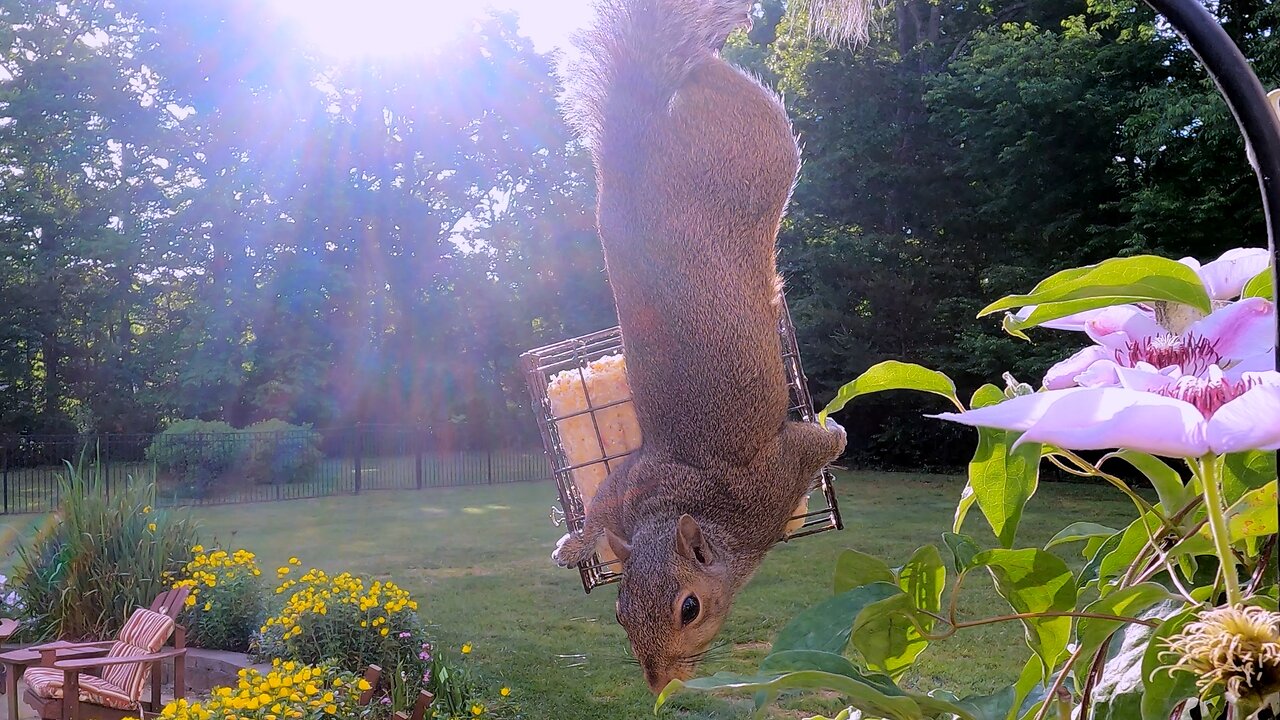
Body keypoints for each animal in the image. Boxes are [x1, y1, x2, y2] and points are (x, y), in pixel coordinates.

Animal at [552, 0, 844, 691]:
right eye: (619, 609)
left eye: (690, 608)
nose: (659, 682)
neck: (680, 506)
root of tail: (639, 134)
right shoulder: (629, 485)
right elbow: (599, 508)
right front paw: (577, 543)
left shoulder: (776, 477)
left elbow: (820, 444)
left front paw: (839, 430)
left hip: (758, 153)